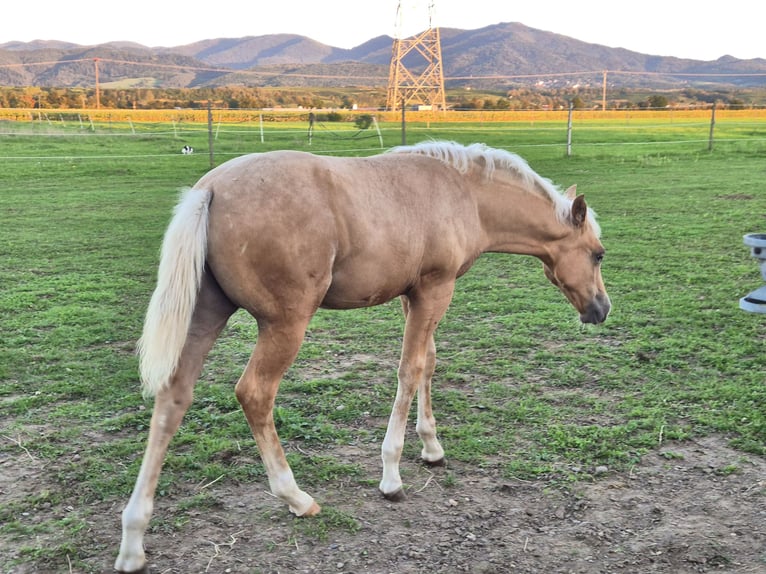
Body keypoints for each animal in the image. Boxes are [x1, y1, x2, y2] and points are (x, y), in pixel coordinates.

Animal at [114, 140, 610, 572]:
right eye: (598, 254)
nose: (601, 309)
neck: (463, 192)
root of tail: (210, 189)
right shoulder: (435, 290)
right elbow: (410, 369)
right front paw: (392, 476)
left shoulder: (417, 295)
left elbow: (428, 364)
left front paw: (432, 447)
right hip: (284, 324)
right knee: (255, 394)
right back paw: (295, 497)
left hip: (206, 312)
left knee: (173, 397)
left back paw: (133, 539)